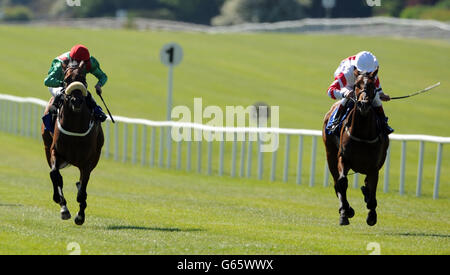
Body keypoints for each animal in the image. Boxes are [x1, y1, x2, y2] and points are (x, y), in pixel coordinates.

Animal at [40, 61, 103, 226]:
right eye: (67, 79)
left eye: (83, 78)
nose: (76, 101)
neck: (75, 125)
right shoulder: (55, 151)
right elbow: (55, 175)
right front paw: (62, 205)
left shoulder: (88, 161)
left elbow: (82, 190)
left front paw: (80, 216)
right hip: (47, 148)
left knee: (82, 185)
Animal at [322, 70, 388, 227]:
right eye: (357, 84)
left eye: (372, 85)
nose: (363, 104)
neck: (362, 133)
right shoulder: (343, 158)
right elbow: (342, 182)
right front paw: (346, 212)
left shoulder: (374, 166)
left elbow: (372, 188)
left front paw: (371, 215)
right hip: (330, 154)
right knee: (337, 183)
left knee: (367, 185)